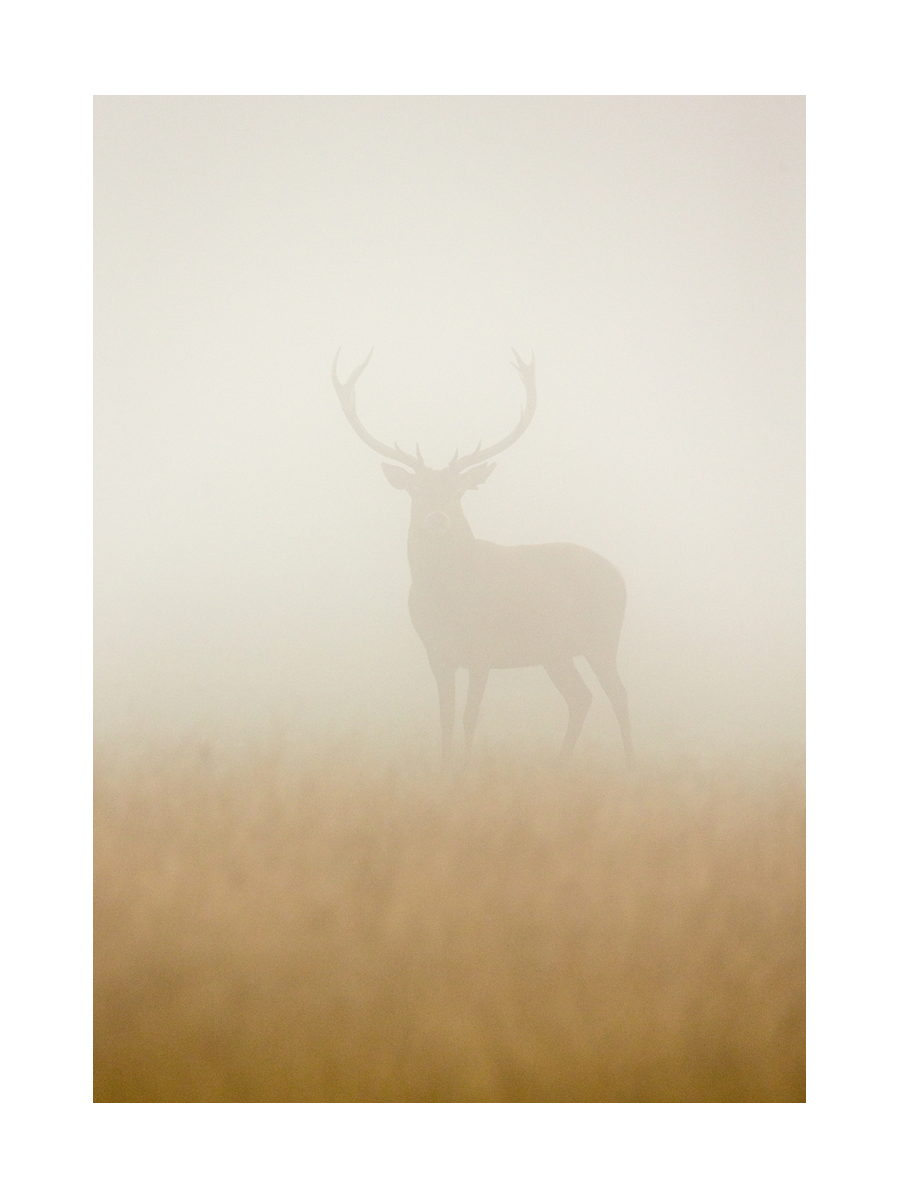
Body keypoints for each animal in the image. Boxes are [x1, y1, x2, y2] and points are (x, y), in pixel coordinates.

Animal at [332, 348, 633, 768]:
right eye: (416, 491)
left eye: (459, 492)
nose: (437, 518)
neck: (448, 600)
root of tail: (619, 576)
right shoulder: (436, 651)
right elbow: (444, 715)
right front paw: (444, 769)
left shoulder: (483, 648)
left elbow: (470, 715)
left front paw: (466, 770)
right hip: (554, 651)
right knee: (581, 697)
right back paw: (559, 767)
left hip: (602, 635)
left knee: (618, 695)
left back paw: (631, 765)